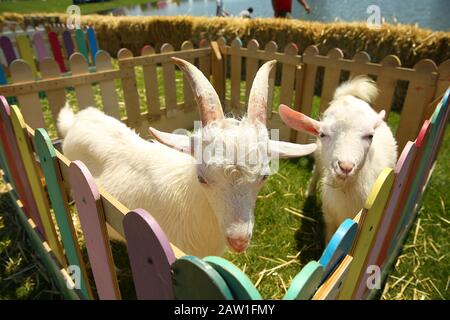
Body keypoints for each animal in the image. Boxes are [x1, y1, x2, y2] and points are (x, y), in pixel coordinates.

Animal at [278, 77, 398, 241]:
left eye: (370, 136)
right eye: (322, 134)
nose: (345, 166)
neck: (346, 189)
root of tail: (347, 96)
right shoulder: (330, 220)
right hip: (319, 156)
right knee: (316, 171)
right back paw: (310, 191)